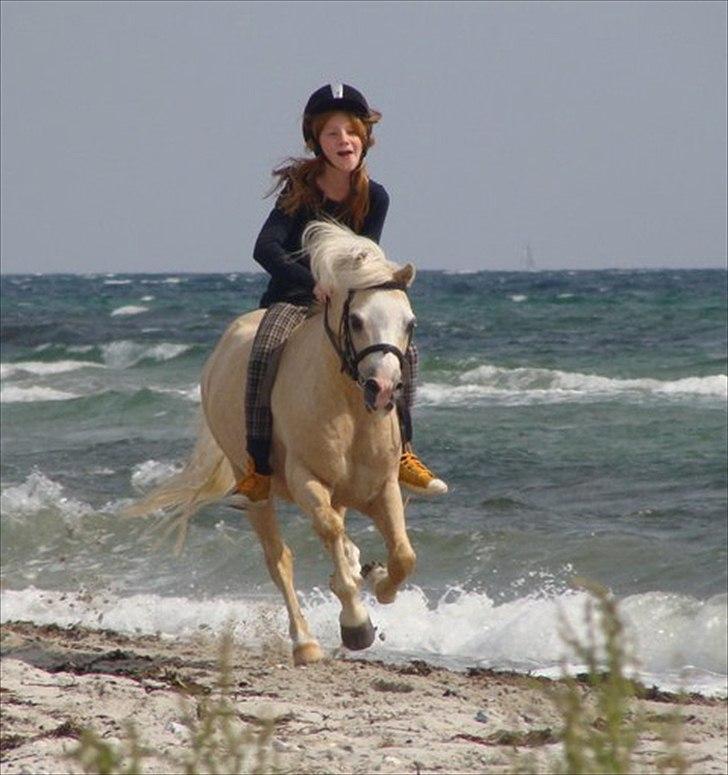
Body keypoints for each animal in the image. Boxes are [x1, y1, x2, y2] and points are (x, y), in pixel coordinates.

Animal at [128, 220, 418, 668]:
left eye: (409, 324)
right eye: (355, 320)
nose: (384, 389)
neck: (348, 408)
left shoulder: (381, 486)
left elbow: (403, 555)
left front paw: (377, 579)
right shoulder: (306, 480)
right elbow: (326, 532)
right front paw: (356, 623)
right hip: (257, 493)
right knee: (280, 560)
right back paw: (306, 643)